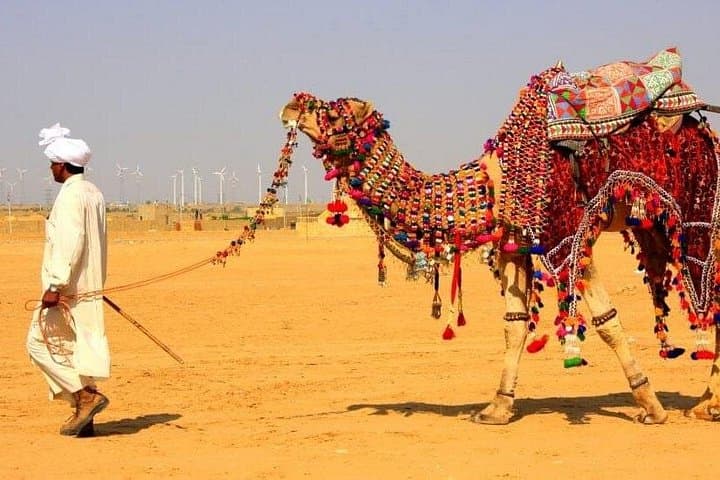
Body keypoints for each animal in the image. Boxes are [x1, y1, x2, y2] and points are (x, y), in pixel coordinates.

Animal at [277, 48, 720, 424]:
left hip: (697, 211)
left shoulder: (569, 234)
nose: (291, 104)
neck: (493, 182)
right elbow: (515, 323)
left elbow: (606, 321)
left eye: (335, 111)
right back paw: (705, 403)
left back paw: (708, 404)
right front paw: (497, 407)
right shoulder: (514, 242)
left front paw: (651, 406)